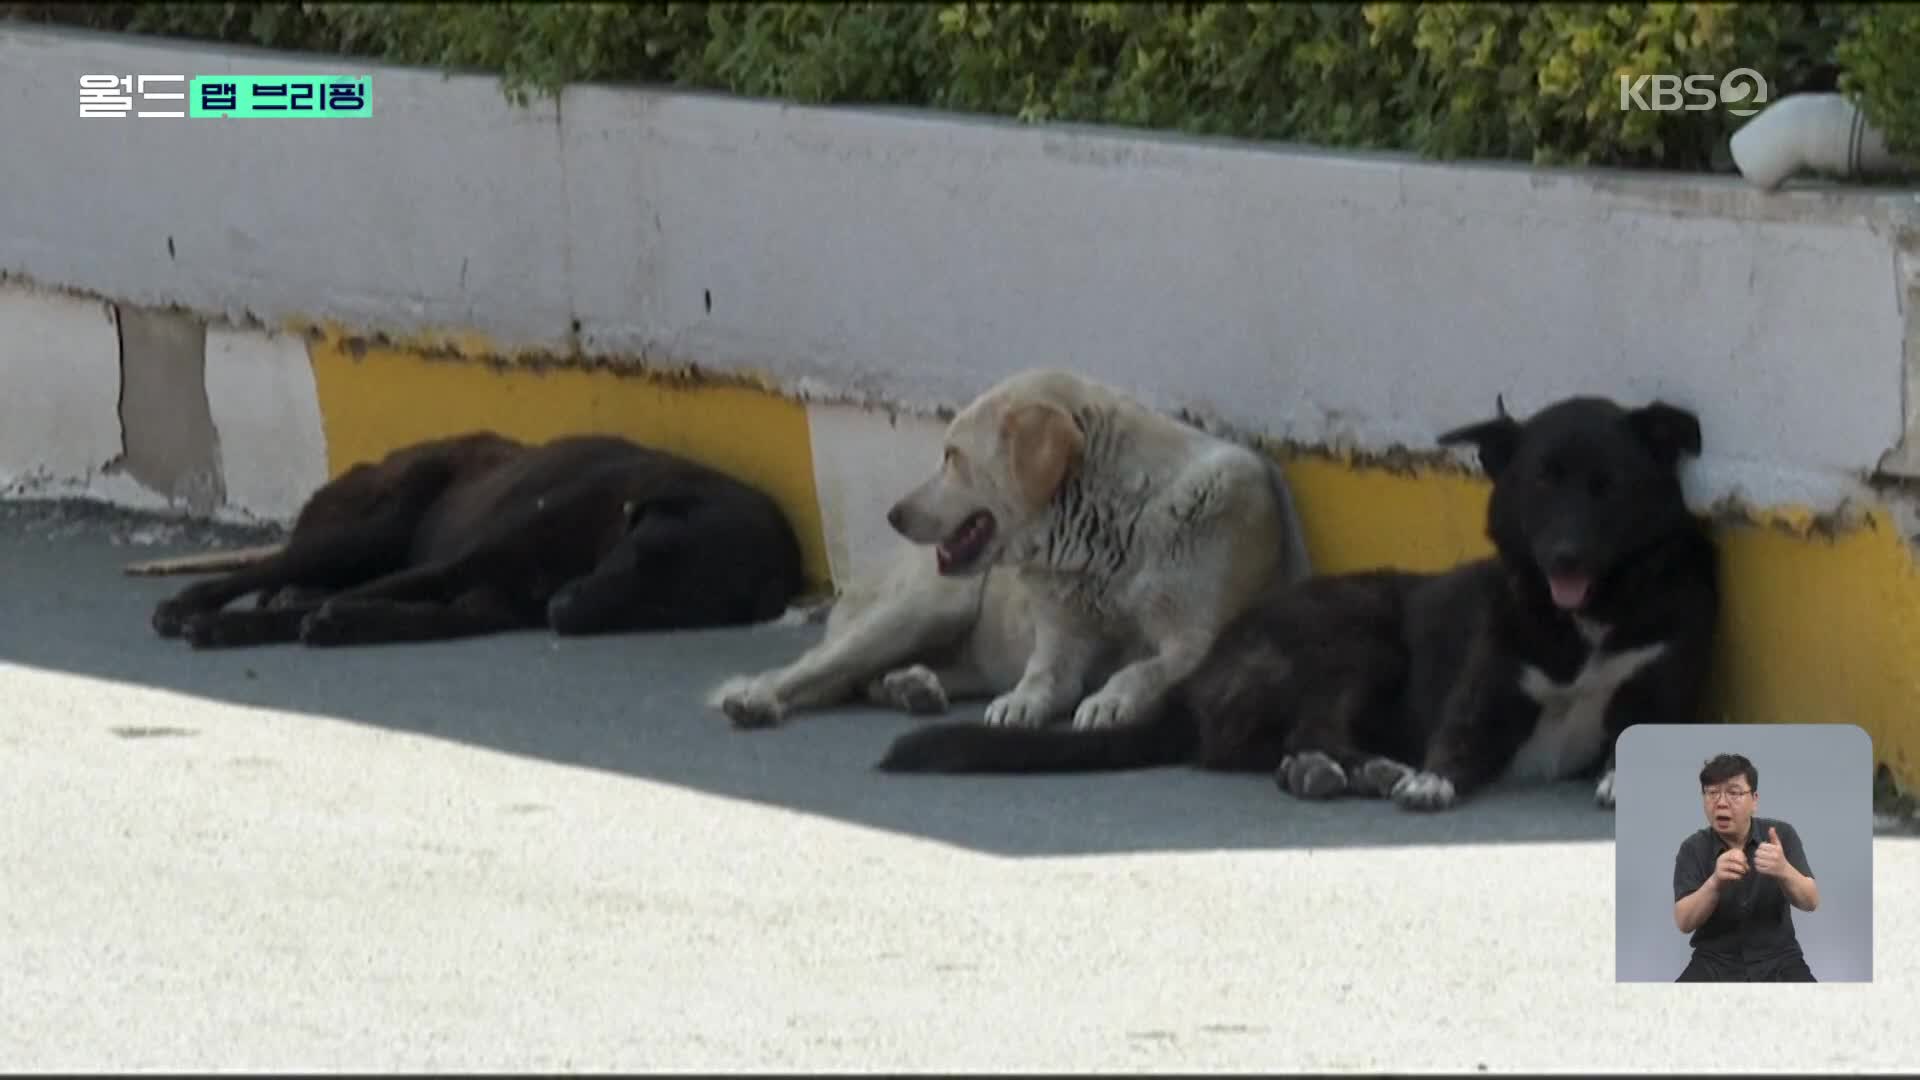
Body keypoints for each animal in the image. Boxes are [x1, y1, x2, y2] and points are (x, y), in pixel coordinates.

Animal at [149, 430, 802, 645]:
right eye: (638, 556)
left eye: (669, 606)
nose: (562, 613)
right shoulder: (458, 566)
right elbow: (386, 592)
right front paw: (241, 627)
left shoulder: (481, 606)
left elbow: (418, 617)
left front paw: (348, 623)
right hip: (372, 526)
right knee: (269, 570)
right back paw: (189, 606)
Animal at [710, 368, 1320, 730]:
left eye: (952, 456)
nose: (894, 515)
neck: (1112, 533)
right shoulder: (1060, 639)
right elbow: (1044, 677)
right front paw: (1027, 702)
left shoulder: (1196, 641)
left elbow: (1145, 668)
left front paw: (1113, 697)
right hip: (928, 607)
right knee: (818, 670)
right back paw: (757, 696)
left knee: (865, 679)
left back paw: (911, 686)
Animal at [879, 393, 1720, 807]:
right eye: (1542, 483)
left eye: (1606, 486)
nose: (1564, 556)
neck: (1584, 621)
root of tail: (1197, 682)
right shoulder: (1481, 689)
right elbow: (1457, 740)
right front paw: (1430, 778)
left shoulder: (1663, 684)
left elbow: (1643, 732)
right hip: (1358, 636)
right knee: (1302, 731)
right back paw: (1356, 771)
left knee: (1276, 745)